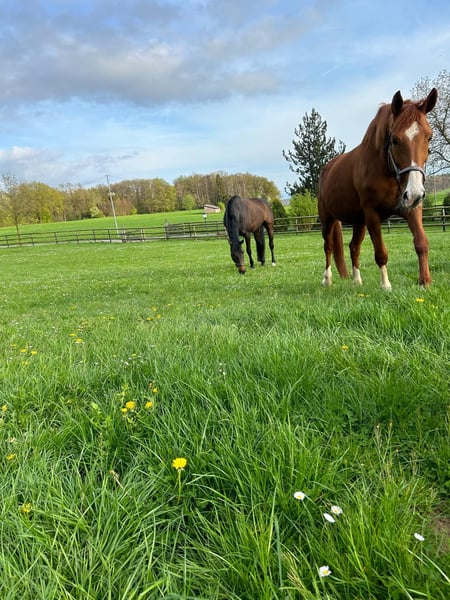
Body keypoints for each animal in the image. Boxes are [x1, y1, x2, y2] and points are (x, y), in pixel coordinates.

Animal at [318, 88, 438, 290]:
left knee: (353, 247)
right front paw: (385, 285)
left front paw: (425, 282)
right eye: (395, 140)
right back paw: (327, 279)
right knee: (328, 247)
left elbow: (421, 243)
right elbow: (381, 252)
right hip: (328, 219)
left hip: (358, 221)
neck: (388, 172)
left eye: (429, 137)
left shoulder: (410, 209)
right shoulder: (372, 214)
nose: (415, 193)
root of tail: (326, 170)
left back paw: (357, 280)